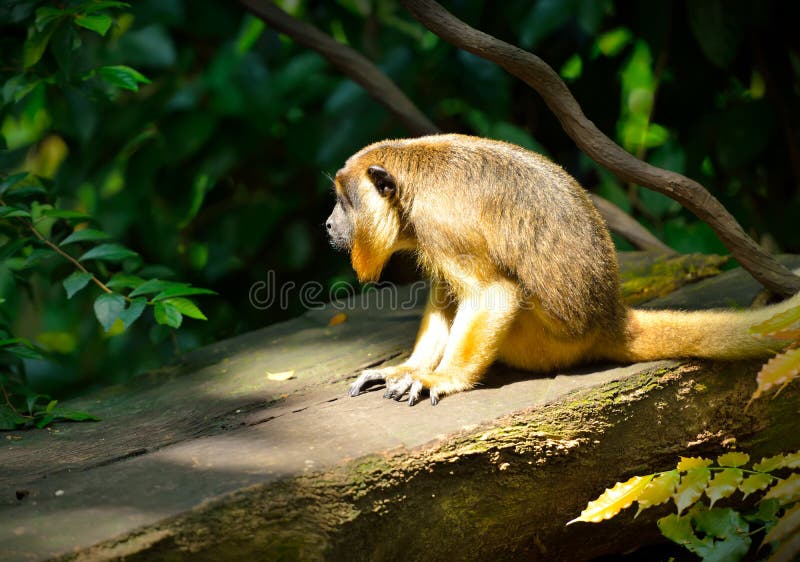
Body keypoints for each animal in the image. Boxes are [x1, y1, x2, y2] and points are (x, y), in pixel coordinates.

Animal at [324, 133, 800, 404]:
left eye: (345, 202)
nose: (328, 223)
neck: (410, 186)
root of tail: (610, 317)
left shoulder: (441, 224)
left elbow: (493, 294)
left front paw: (443, 377)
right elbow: (446, 295)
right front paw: (408, 368)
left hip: (542, 344)